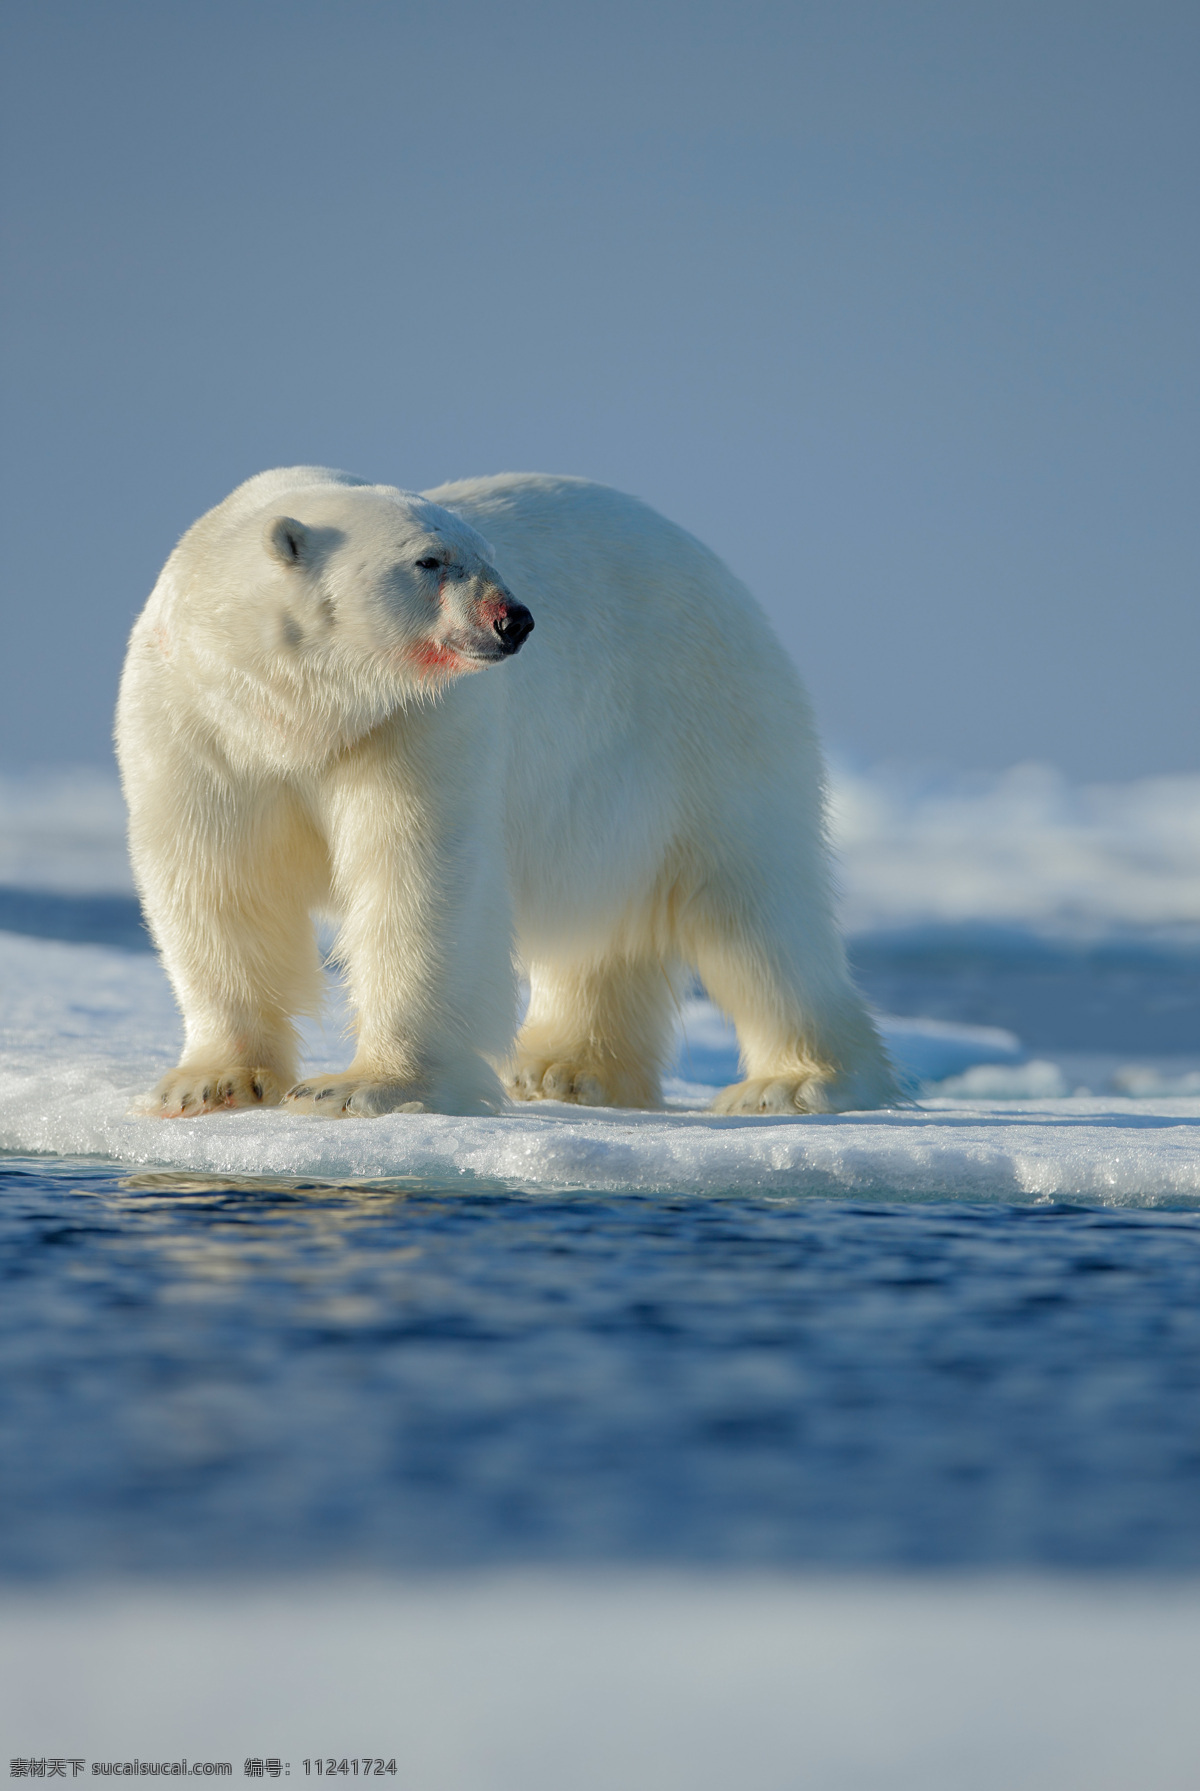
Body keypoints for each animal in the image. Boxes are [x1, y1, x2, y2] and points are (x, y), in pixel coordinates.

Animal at [115, 476, 902, 1117]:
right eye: (429, 560)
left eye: (489, 555)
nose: (513, 619)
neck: (299, 710)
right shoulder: (199, 723)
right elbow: (216, 879)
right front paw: (210, 1083)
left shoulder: (412, 725)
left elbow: (417, 879)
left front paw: (364, 1087)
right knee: (607, 924)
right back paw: (566, 1068)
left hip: (709, 722)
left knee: (756, 911)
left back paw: (794, 1082)